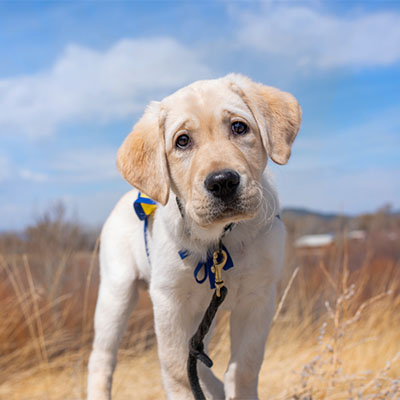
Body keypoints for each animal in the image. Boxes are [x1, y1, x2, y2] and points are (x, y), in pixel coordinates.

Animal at [86, 75, 300, 400]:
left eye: (239, 127)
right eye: (182, 141)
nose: (223, 182)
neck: (220, 241)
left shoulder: (258, 296)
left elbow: (245, 366)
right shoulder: (169, 300)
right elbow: (178, 371)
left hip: (201, 314)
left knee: (198, 358)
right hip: (116, 293)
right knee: (102, 358)